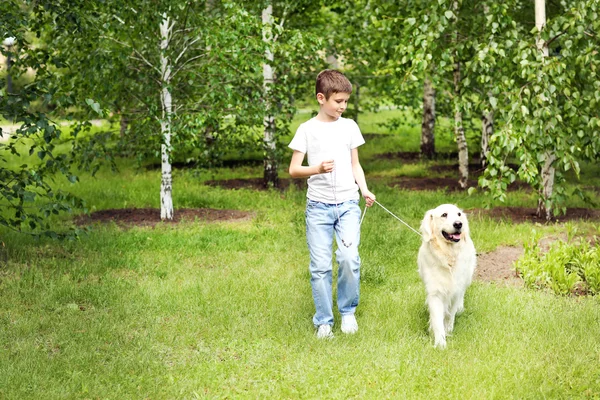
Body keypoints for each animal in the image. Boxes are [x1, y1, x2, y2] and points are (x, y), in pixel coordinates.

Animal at [418, 205, 478, 348]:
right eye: (444, 214)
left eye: (459, 214)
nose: (458, 224)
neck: (448, 256)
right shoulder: (435, 293)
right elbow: (437, 319)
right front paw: (440, 343)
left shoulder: (456, 289)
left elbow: (450, 314)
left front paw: (448, 329)